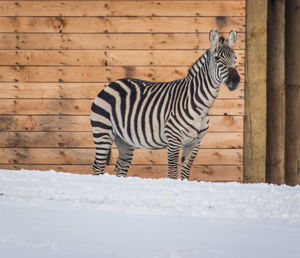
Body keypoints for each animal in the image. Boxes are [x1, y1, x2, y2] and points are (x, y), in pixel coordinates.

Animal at [90, 29, 240, 179]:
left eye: (235, 58)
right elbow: (172, 174)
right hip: (102, 132)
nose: (236, 80)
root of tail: (112, 84)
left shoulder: (195, 143)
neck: (200, 107)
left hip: (124, 140)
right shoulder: (173, 140)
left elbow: (185, 174)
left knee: (119, 169)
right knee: (97, 167)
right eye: (217, 58)